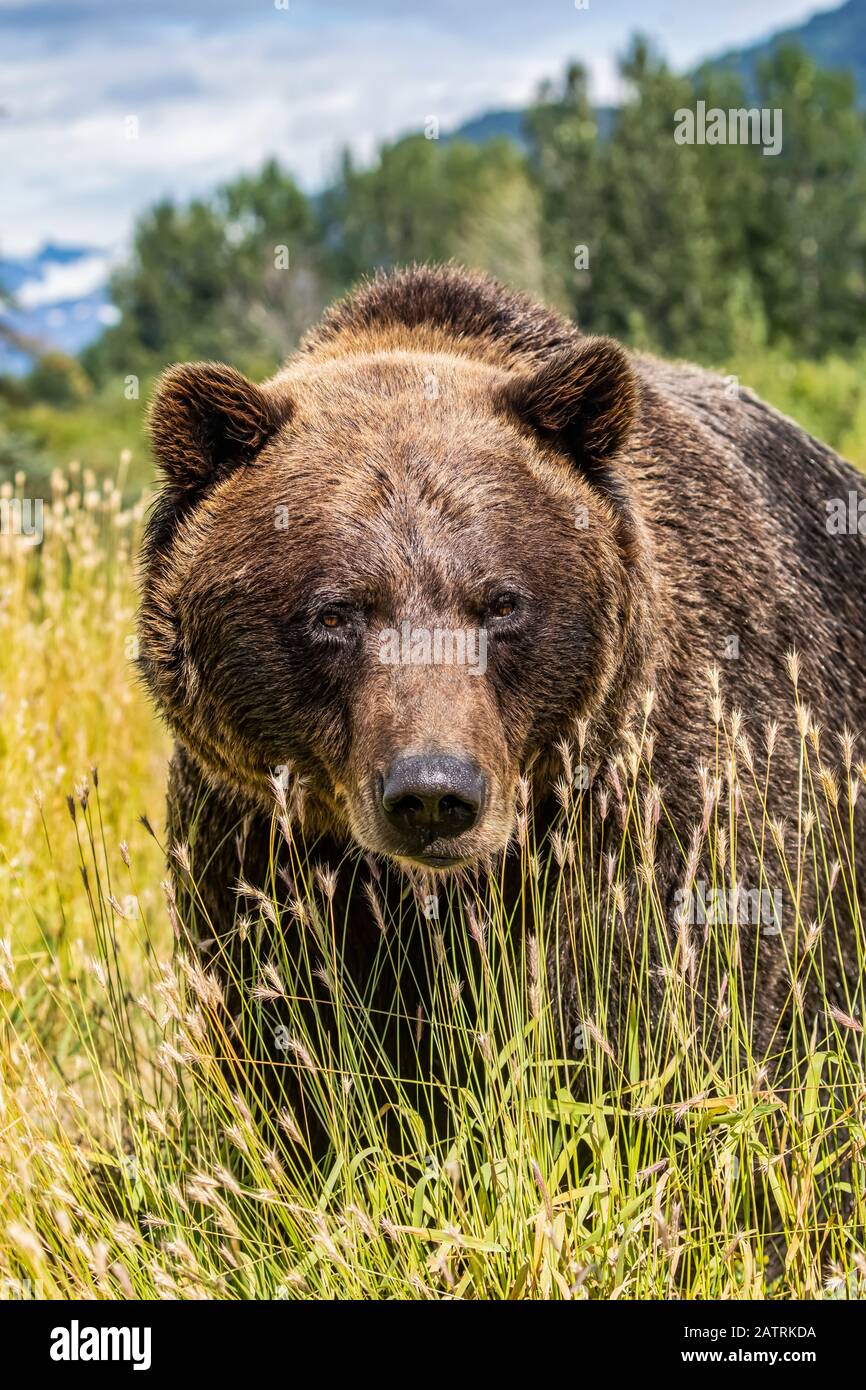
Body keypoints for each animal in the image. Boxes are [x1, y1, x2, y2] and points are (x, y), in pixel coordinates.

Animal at [136, 261, 866, 1123]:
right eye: (335, 611)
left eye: (502, 602)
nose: (432, 793)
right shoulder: (259, 835)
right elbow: (291, 1031)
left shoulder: (659, 787)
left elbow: (674, 1002)